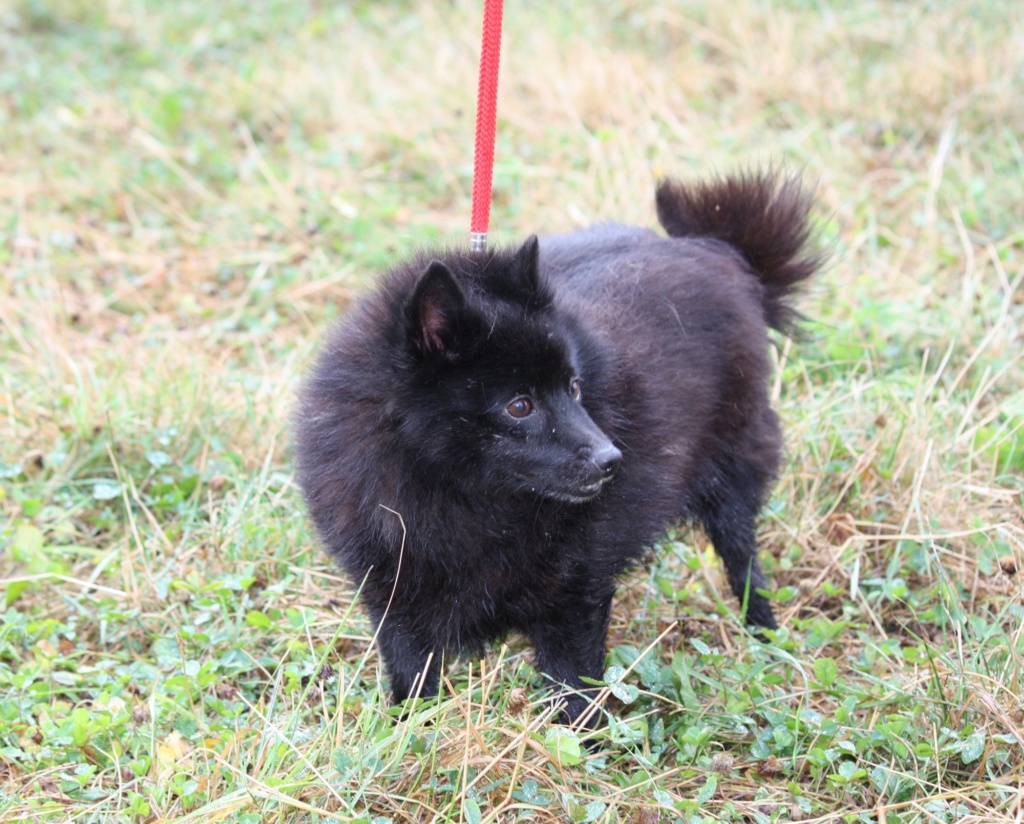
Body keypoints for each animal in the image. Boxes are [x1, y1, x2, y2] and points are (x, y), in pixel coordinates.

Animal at [292, 169, 819, 724]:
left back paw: (764, 634)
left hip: (734, 470)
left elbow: (573, 689)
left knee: (743, 558)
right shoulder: (393, 595)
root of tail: (714, 247)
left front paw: (578, 739)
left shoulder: (573, 597)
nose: (612, 461)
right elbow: (413, 676)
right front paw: (413, 730)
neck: (459, 490)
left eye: (574, 387)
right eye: (519, 405)